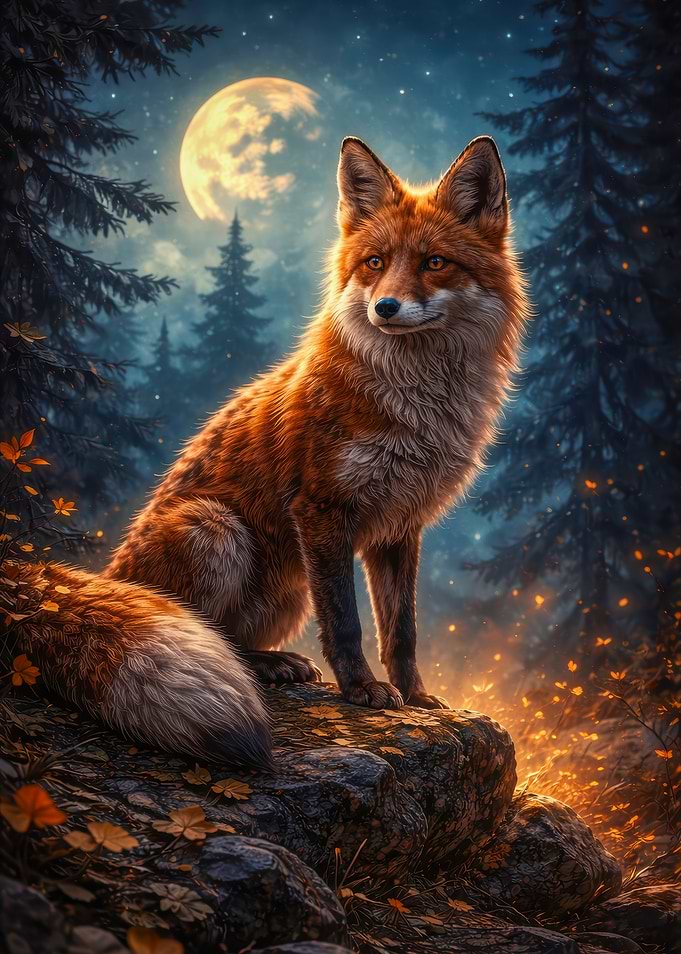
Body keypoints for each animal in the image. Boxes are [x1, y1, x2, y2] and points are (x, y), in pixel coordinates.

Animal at [3, 135, 528, 768]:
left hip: (289, 592)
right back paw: (265, 667)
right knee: (209, 632)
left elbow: (400, 630)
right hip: (217, 532)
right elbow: (347, 624)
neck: (417, 405)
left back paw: (274, 664)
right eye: (375, 264)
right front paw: (361, 691)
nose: (385, 308)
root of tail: (111, 574)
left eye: (434, 263)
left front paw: (417, 696)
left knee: (232, 637)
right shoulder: (322, 509)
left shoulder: (401, 525)